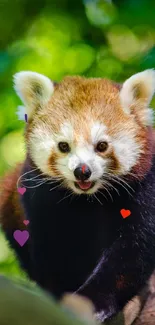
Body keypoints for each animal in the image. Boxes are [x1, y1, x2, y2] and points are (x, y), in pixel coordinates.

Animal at [0, 69, 155, 320]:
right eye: (64, 146)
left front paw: (94, 302)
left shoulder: (144, 189)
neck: (87, 200)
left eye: (102, 145)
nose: (82, 171)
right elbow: (53, 252)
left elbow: (132, 250)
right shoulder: (39, 200)